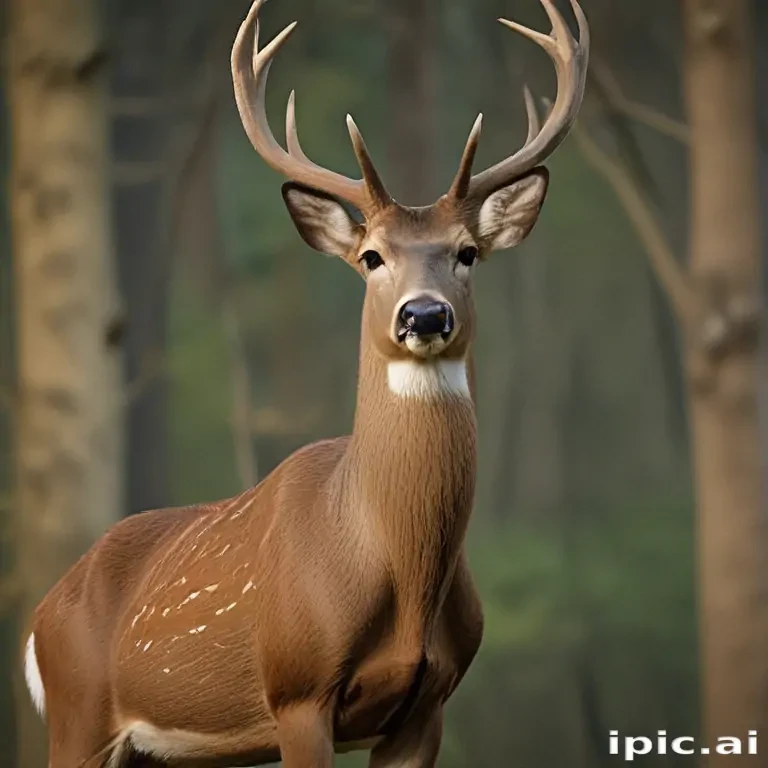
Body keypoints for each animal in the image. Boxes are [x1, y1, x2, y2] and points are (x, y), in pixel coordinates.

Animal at [22, 1, 588, 766]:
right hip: (78, 715)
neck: (396, 567)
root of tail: (38, 620)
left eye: (467, 252)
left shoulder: (427, 705)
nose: (424, 314)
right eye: (371, 256)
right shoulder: (296, 690)